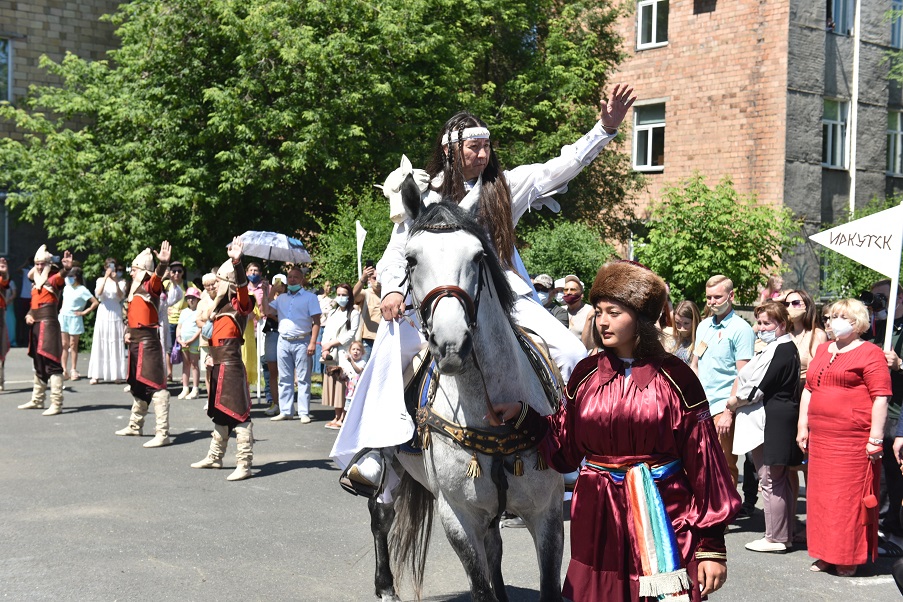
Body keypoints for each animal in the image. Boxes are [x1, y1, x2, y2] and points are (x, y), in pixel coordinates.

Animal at [368, 175, 564, 600]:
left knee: (495, 548)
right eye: (411, 259)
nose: (451, 344)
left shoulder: (547, 512)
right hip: (390, 463)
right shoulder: (458, 517)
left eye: (477, 257)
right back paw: (385, 586)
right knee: (381, 511)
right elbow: (479, 587)